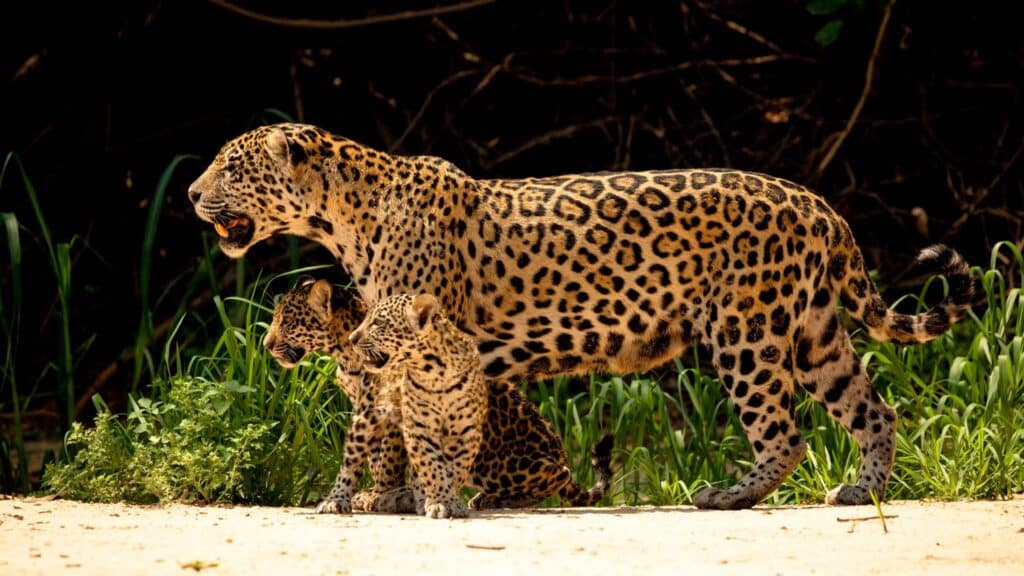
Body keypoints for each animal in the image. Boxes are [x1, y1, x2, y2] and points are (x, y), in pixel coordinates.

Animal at [265, 276, 615, 514]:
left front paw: (383, 494)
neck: (345, 353)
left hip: (502, 462)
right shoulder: (371, 411)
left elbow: (387, 460)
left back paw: (488, 498)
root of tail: (561, 459)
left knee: (550, 481)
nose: (267, 344)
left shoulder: (385, 413)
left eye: (287, 321)